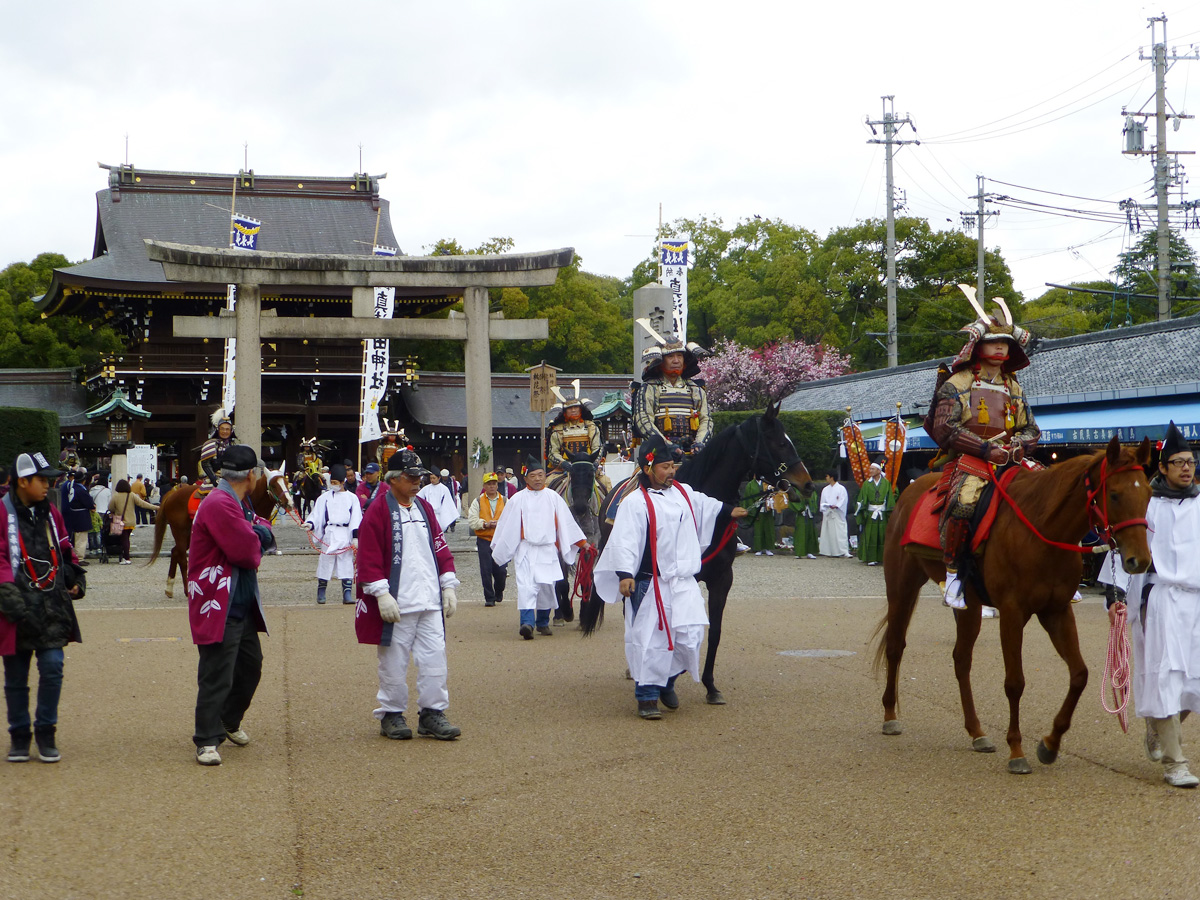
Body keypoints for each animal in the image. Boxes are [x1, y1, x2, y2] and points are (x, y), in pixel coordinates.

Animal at [148, 468, 294, 602]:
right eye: (274, 484)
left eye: (286, 482)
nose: (290, 503)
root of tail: (172, 495)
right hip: (181, 532)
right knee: (182, 557)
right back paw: (187, 590)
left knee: (175, 552)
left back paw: (169, 588)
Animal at [576, 400, 811, 705]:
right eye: (780, 442)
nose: (807, 484)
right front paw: (668, 682)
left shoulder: (722, 578)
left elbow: (714, 632)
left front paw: (710, 685)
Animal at [873, 436, 1152, 777]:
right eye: (1114, 494)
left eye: (1148, 493)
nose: (1140, 560)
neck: (1043, 531)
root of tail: (908, 492)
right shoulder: (1011, 611)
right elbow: (1015, 682)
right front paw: (1017, 750)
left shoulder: (1056, 610)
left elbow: (1080, 675)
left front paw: (1050, 744)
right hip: (902, 584)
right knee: (895, 646)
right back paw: (890, 715)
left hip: (969, 605)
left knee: (961, 659)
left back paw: (977, 732)